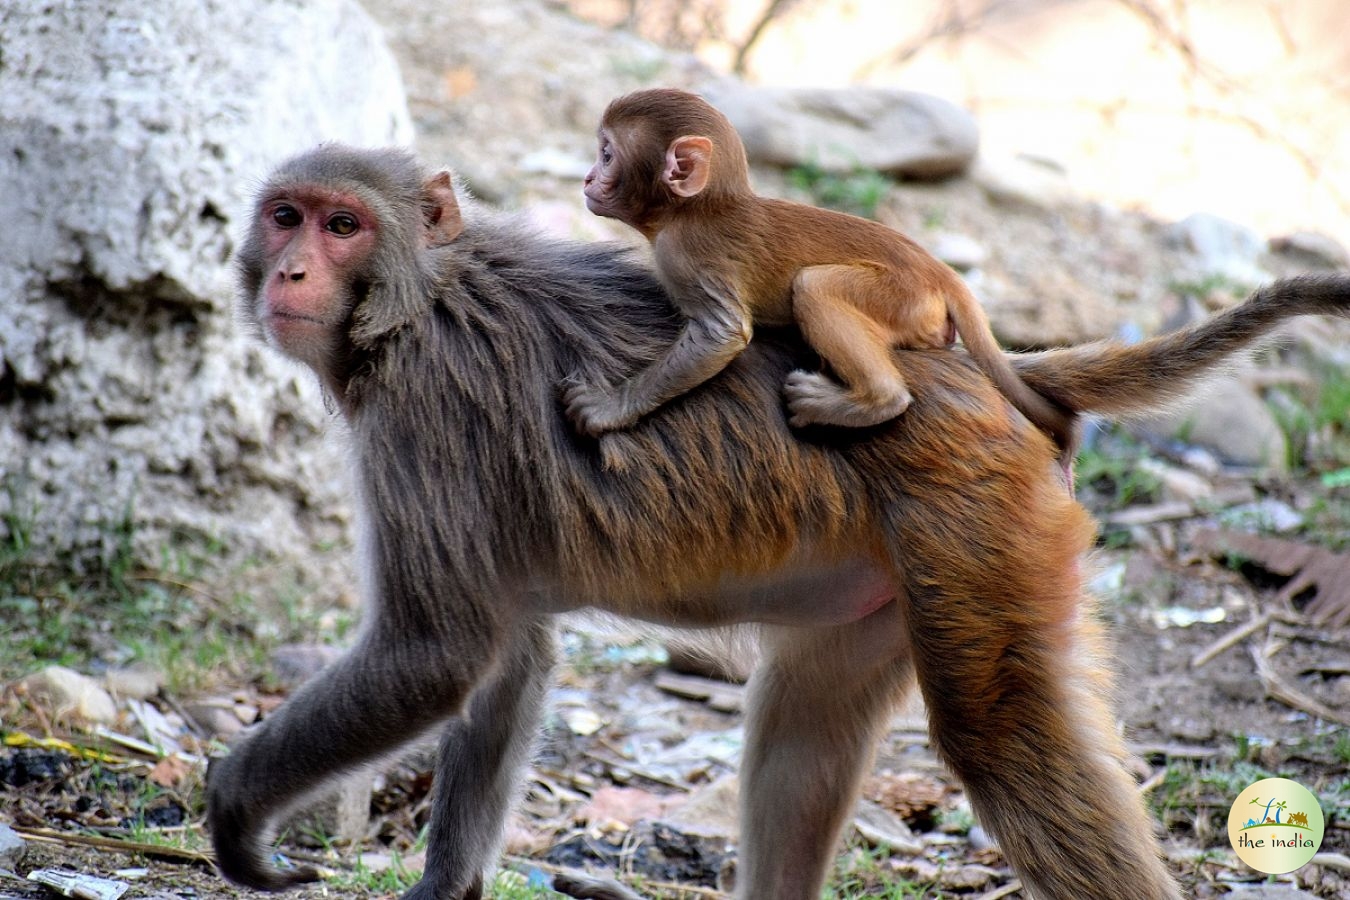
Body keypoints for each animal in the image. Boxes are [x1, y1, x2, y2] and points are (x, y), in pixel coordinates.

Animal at [208, 142, 1350, 900]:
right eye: (288, 216)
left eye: (344, 225)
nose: (294, 270)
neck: (414, 302)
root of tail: (974, 371)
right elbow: (507, 659)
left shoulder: (423, 417)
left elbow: (437, 653)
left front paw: (235, 808)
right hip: (909, 569)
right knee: (804, 729)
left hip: (983, 525)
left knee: (998, 738)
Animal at [563, 87, 1074, 459]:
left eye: (606, 155)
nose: (587, 178)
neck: (694, 209)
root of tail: (938, 273)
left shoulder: (687, 253)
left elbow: (722, 334)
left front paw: (609, 408)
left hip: (901, 297)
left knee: (815, 286)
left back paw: (872, 401)